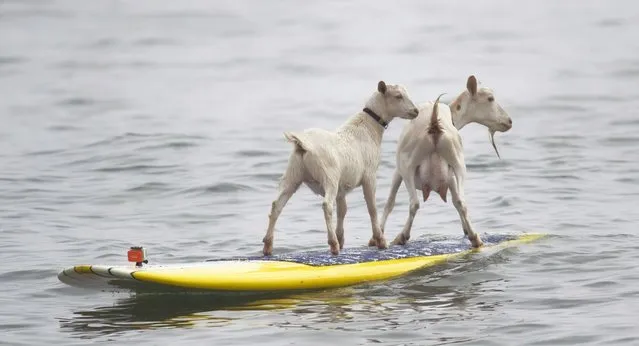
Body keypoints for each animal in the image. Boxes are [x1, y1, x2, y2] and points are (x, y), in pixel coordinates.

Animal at [264, 79, 420, 255]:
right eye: (398, 96)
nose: (416, 111)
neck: (368, 128)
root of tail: (303, 144)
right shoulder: (369, 176)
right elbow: (372, 208)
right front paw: (380, 241)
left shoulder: (342, 187)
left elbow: (343, 210)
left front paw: (342, 239)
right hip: (328, 176)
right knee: (326, 205)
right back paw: (333, 244)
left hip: (293, 174)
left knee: (277, 205)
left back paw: (267, 246)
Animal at [378, 75, 512, 249]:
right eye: (490, 98)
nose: (509, 121)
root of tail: (434, 123)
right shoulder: (451, 175)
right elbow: (456, 200)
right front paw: (466, 230)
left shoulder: (398, 170)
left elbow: (389, 202)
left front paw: (378, 234)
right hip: (458, 161)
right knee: (461, 201)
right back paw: (475, 238)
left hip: (407, 165)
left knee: (414, 203)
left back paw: (401, 237)